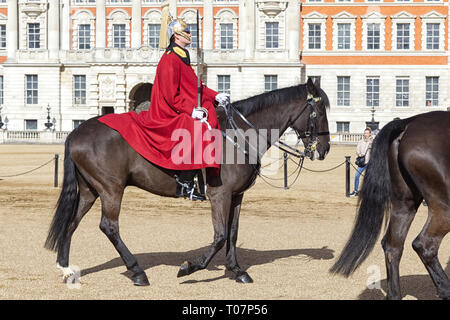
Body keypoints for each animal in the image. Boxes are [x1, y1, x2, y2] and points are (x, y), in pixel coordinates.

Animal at [44, 78, 330, 288]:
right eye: (319, 111)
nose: (325, 149)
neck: (239, 136)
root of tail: (78, 130)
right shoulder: (219, 195)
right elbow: (219, 236)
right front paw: (190, 267)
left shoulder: (237, 196)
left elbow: (233, 233)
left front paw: (237, 270)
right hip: (111, 189)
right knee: (109, 226)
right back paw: (137, 272)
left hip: (90, 190)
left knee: (71, 223)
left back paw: (66, 268)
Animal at [330, 110, 450, 300]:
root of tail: (408, 122)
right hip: (443, 206)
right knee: (424, 245)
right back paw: (445, 289)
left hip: (404, 205)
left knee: (393, 246)